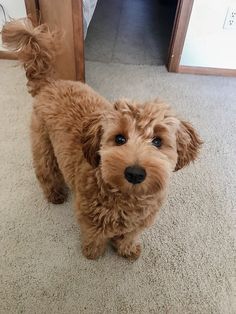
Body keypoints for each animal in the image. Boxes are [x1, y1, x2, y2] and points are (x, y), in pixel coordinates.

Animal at [1, 19, 202, 260]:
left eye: (157, 141)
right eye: (119, 138)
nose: (135, 173)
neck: (126, 197)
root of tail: (50, 83)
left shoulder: (140, 221)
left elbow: (129, 235)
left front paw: (127, 249)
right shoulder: (90, 216)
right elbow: (94, 235)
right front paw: (93, 252)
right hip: (43, 144)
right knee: (45, 171)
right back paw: (55, 194)